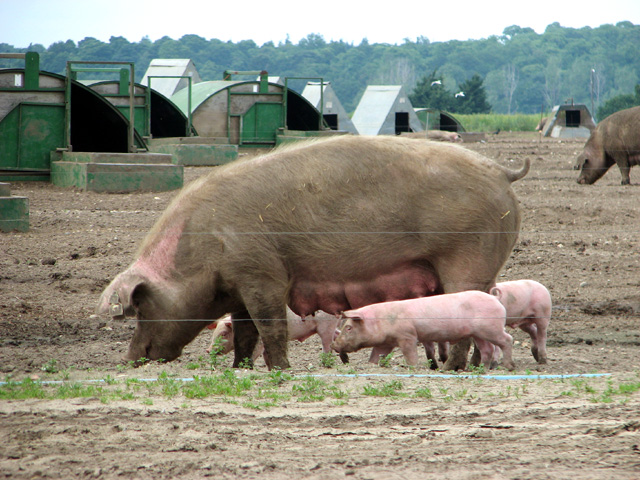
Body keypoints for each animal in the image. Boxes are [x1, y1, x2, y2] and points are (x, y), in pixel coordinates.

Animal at [208, 310, 348, 362]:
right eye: (214, 333)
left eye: (224, 333)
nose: (208, 350)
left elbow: (254, 353)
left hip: (326, 326)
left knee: (327, 345)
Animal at [330, 288, 516, 372]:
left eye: (348, 327)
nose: (334, 346)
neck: (382, 320)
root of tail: (495, 298)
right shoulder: (386, 342)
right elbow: (375, 355)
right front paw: (372, 366)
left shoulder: (407, 335)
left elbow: (410, 354)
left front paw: (413, 368)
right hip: (478, 333)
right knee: (487, 349)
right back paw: (480, 369)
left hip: (491, 328)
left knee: (508, 339)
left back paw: (509, 367)